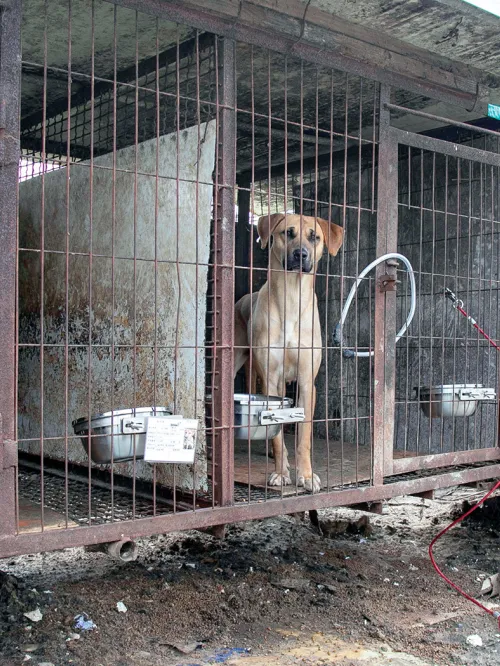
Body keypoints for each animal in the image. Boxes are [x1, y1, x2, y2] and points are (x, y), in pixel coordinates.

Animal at [234, 210, 344, 490]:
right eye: (288, 233)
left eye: (315, 237)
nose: (300, 254)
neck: (292, 297)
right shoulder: (271, 382)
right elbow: (277, 435)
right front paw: (281, 473)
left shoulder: (306, 381)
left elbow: (303, 436)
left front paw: (306, 475)